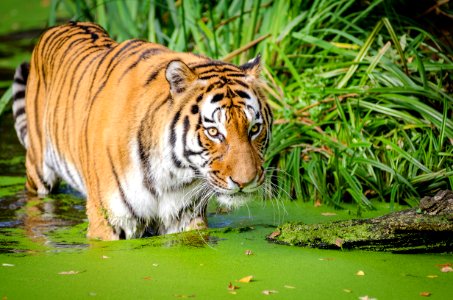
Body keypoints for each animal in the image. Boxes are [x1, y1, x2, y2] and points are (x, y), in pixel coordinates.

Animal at [11, 21, 272, 240]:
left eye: (254, 128)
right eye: (214, 133)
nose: (245, 182)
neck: (173, 174)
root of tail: (62, 24)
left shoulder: (185, 217)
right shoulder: (109, 221)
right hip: (38, 172)